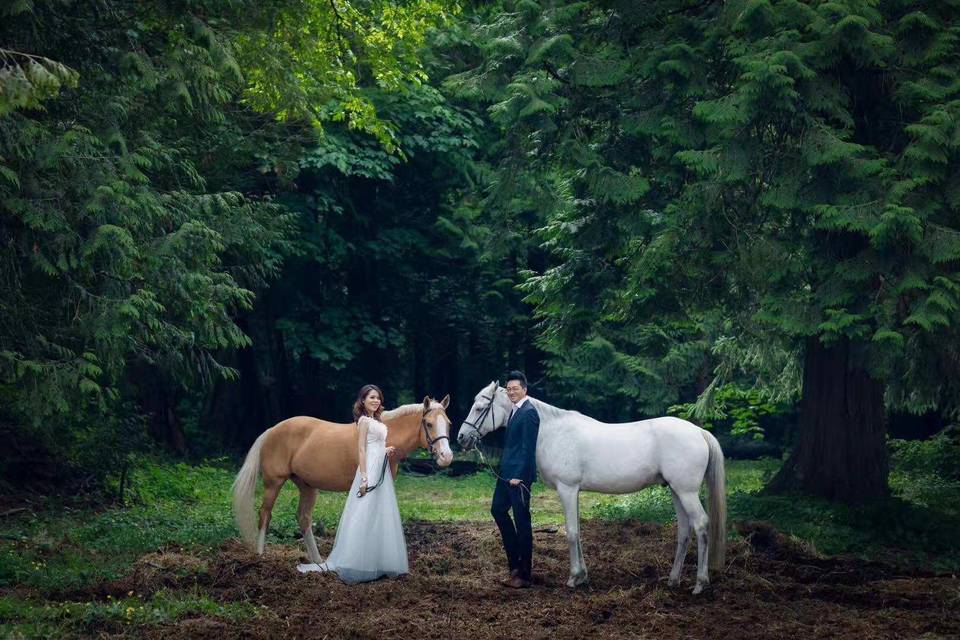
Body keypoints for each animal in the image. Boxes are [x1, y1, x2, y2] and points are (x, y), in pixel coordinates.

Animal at [234, 396, 456, 564]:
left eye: (449, 424)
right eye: (429, 423)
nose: (446, 456)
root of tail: (271, 430)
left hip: (307, 487)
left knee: (303, 518)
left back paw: (319, 563)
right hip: (274, 483)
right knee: (265, 514)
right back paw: (260, 555)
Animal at [460, 380, 728, 596]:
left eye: (480, 408)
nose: (462, 438)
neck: (551, 432)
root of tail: (699, 432)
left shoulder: (567, 489)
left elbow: (571, 532)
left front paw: (573, 578)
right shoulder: (575, 491)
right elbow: (578, 531)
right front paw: (583, 577)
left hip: (686, 492)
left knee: (701, 524)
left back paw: (700, 584)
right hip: (675, 491)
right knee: (684, 530)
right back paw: (673, 580)